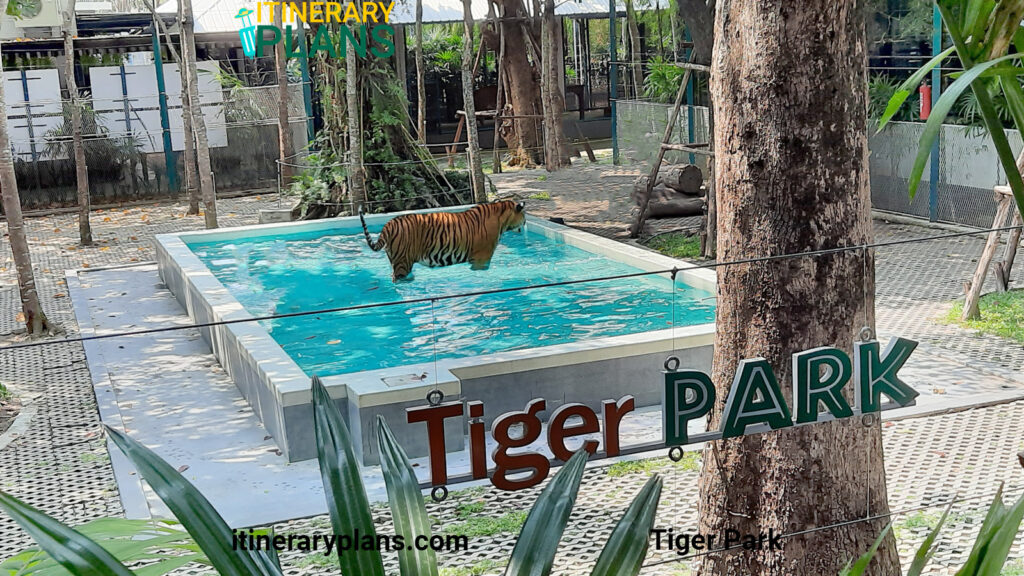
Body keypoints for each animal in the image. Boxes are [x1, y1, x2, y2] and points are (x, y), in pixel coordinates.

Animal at [358, 201, 527, 282]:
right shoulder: (482, 258)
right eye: (524, 215)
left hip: (398, 260)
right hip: (402, 262)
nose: (525, 223)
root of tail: (389, 224)